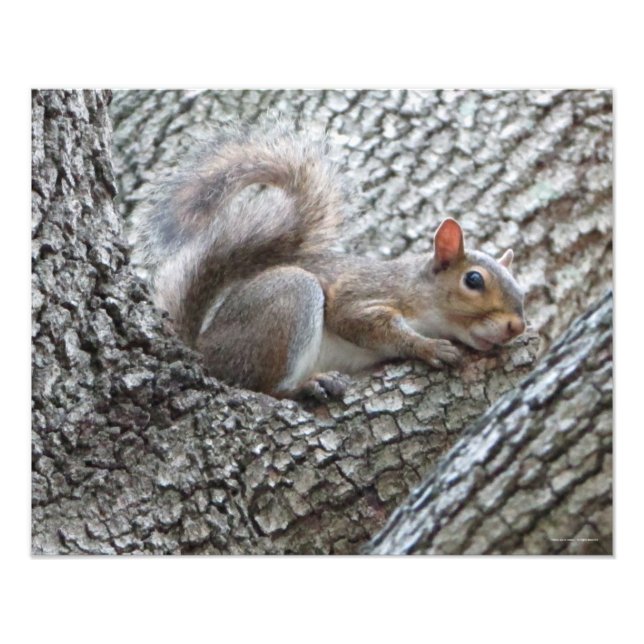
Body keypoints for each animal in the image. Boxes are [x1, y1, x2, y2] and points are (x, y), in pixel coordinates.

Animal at [133, 119, 526, 400]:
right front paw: (429, 347)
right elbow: (364, 323)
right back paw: (308, 386)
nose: (516, 327)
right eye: (473, 280)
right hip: (289, 301)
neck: (417, 292)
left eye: (521, 292)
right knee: (263, 388)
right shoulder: (363, 297)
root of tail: (203, 350)